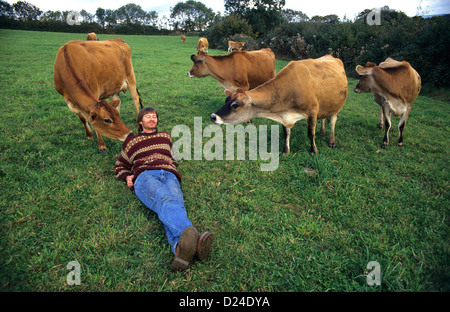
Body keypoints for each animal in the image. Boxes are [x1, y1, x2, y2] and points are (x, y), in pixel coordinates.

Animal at [211, 55, 348, 155]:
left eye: (235, 105)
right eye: (226, 100)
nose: (213, 116)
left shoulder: (312, 111)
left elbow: (310, 133)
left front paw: (313, 150)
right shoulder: (285, 114)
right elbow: (286, 132)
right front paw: (286, 151)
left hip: (337, 105)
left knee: (333, 121)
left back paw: (331, 141)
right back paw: (322, 131)